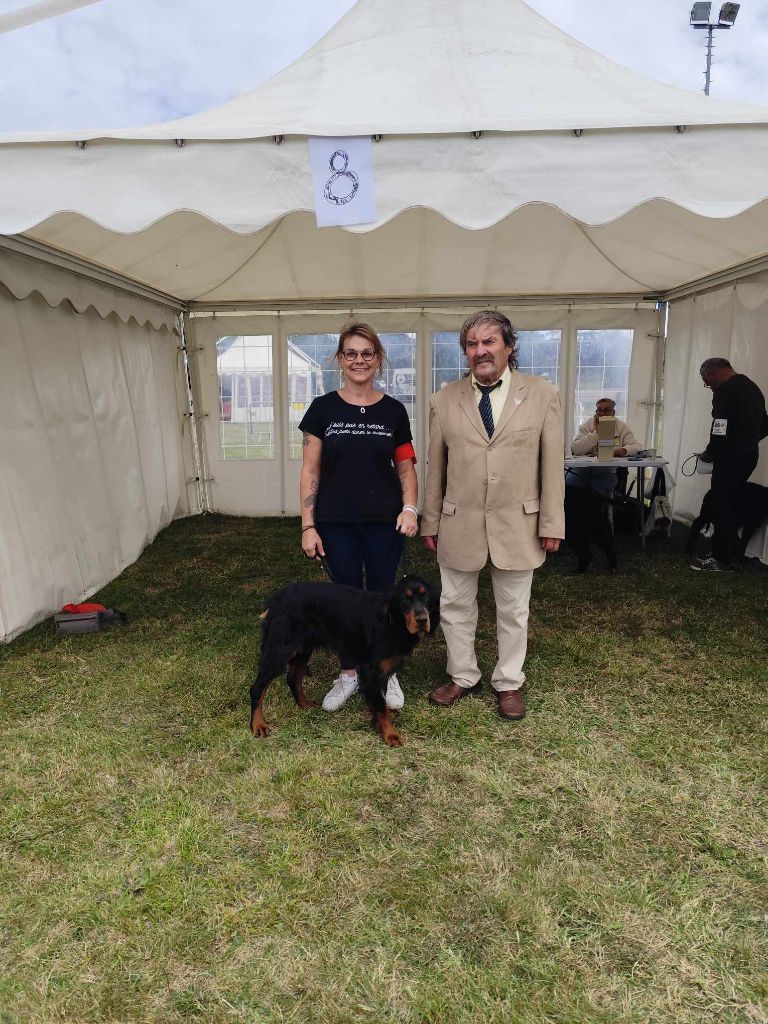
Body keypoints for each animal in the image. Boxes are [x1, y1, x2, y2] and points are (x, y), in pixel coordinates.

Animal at [247, 577, 438, 745]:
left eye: (426, 596)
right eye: (405, 599)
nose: (422, 619)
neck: (392, 622)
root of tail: (276, 599)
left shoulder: (381, 672)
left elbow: (380, 701)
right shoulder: (373, 670)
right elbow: (380, 705)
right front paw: (390, 734)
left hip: (303, 648)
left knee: (293, 678)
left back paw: (305, 704)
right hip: (280, 651)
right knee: (257, 688)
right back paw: (258, 725)